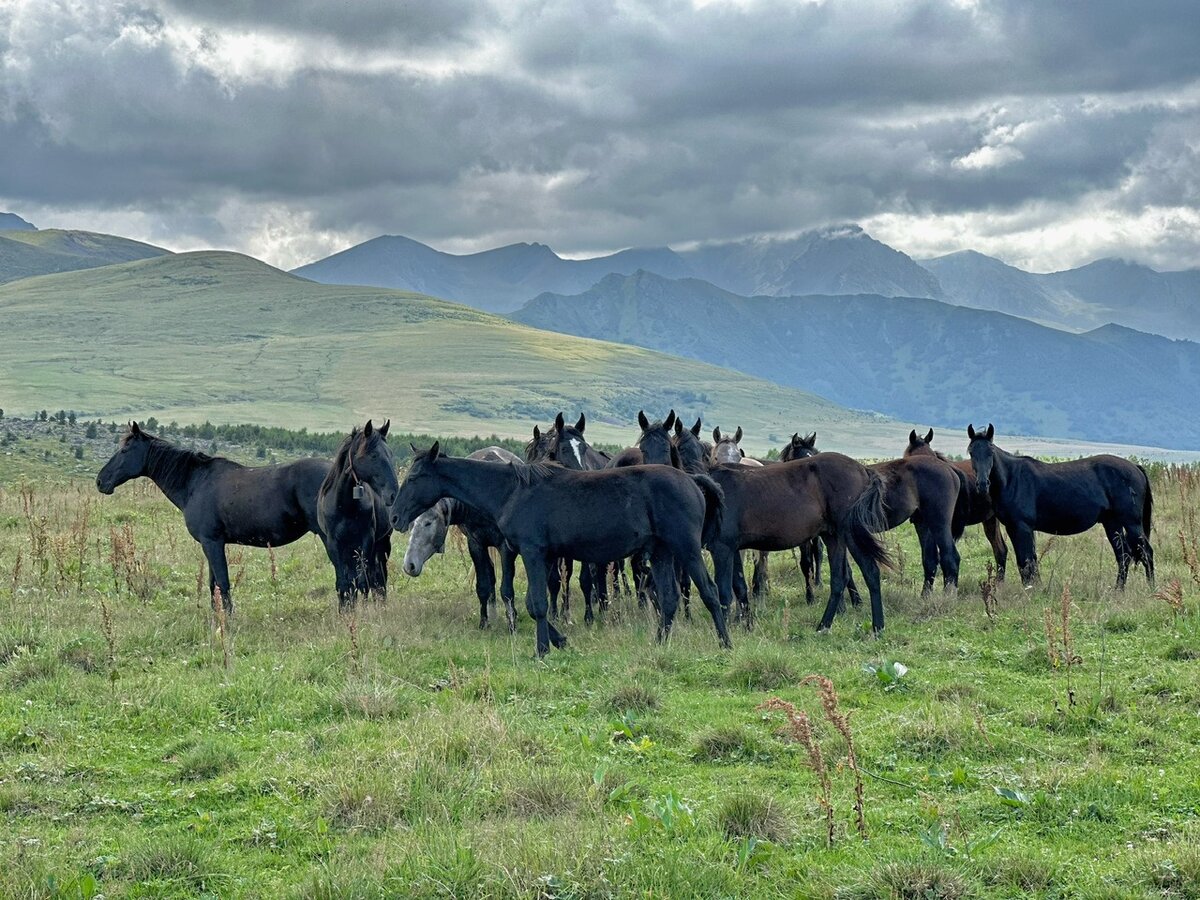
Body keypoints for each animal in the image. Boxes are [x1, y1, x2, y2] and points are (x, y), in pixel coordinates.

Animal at [316, 424, 396, 614]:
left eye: (390, 453)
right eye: (374, 455)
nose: (393, 494)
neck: (345, 505)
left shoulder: (366, 540)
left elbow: (363, 583)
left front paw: (363, 612)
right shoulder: (334, 544)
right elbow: (344, 584)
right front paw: (345, 612)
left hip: (381, 544)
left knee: (378, 578)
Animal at [393, 448, 729, 657]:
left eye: (413, 478)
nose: (395, 517)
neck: (512, 491)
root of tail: (691, 480)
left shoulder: (532, 552)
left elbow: (538, 603)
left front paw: (542, 649)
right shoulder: (541, 556)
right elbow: (532, 601)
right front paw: (559, 640)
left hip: (686, 549)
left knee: (710, 592)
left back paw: (725, 644)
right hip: (661, 553)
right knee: (670, 600)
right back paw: (659, 643)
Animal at [964, 424, 1152, 588]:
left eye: (990, 451)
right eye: (971, 452)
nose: (982, 484)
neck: (1012, 479)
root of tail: (1135, 468)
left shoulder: (1022, 527)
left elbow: (1027, 561)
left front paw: (1031, 590)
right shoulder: (1014, 528)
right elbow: (1026, 562)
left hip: (1132, 523)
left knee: (1146, 553)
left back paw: (1151, 589)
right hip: (1112, 523)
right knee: (1124, 556)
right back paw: (1118, 591)